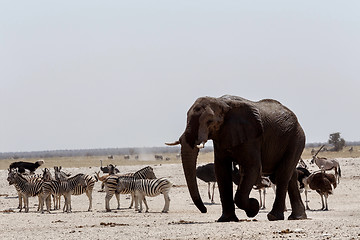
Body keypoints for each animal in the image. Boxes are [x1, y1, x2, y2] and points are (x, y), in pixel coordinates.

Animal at [167, 94, 306, 222]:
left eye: (210, 121)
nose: (204, 210)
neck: (221, 103)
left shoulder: (252, 136)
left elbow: (253, 167)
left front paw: (254, 206)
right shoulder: (221, 136)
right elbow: (221, 169)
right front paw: (226, 219)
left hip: (296, 138)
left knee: (282, 175)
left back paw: (274, 216)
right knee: (290, 175)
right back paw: (297, 217)